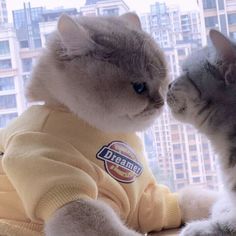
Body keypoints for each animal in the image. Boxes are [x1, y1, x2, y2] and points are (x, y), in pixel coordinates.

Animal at [0, 12, 216, 236]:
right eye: (139, 87)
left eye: (163, 80)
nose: (161, 102)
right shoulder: (72, 198)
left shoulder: (149, 201)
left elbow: (191, 199)